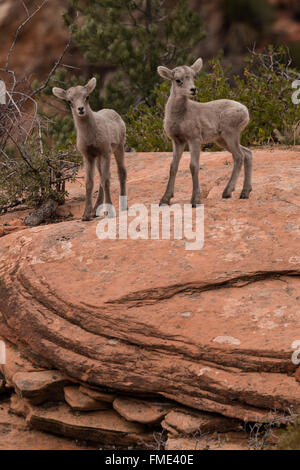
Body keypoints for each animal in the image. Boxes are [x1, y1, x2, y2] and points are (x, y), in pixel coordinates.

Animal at [52, 78, 126, 221]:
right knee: (101, 179)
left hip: (119, 147)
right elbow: (89, 183)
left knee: (121, 173)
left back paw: (123, 206)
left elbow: (106, 181)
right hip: (98, 159)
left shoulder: (105, 152)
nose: (80, 109)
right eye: (69, 101)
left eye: (87, 97)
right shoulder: (88, 156)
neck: (90, 136)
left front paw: (110, 213)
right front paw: (86, 215)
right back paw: (96, 210)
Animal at [157, 58, 253, 206]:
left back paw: (227, 192)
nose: (193, 90)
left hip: (230, 134)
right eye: (178, 80)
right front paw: (165, 200)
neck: (180, 116)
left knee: (239, 156)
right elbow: (173, 167)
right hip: (222, 140)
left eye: (193, 76)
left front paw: (195, 200)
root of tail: (245, 111)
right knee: (247, 153)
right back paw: (244, 193)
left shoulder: (194, 139)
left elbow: (193, 166)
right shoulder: (178, 141)